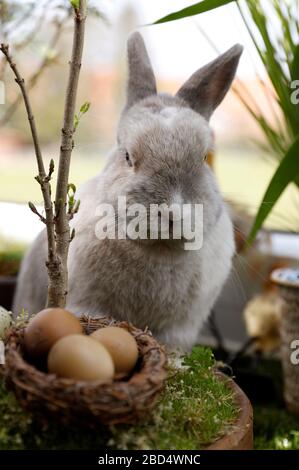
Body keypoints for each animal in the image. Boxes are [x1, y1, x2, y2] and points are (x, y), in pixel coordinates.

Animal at [14, 32, 244, 348]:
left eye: (203, 158)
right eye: (128, 157)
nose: (173, 213)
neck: (160, 248)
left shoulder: (179, 330)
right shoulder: (87, 303)